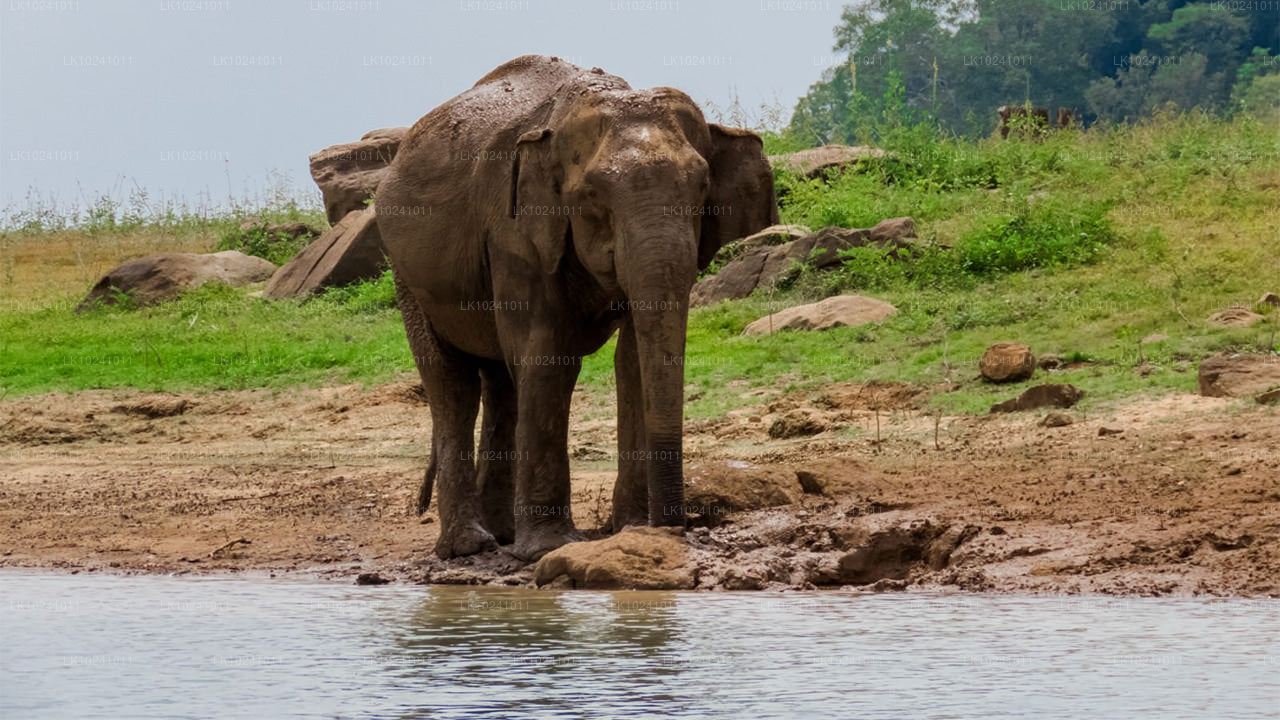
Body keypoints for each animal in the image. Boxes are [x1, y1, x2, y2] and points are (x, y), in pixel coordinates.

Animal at [376, 56, 778, 561]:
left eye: (703, 187)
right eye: (592, 196)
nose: (674, 529)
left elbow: (631, 360)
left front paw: (629, 529)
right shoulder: (513, 233)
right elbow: (548, 355)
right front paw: (547, 549)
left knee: (501, 382)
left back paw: (502, 535)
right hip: (407, 276)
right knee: (454, 384)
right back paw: (470, 547)